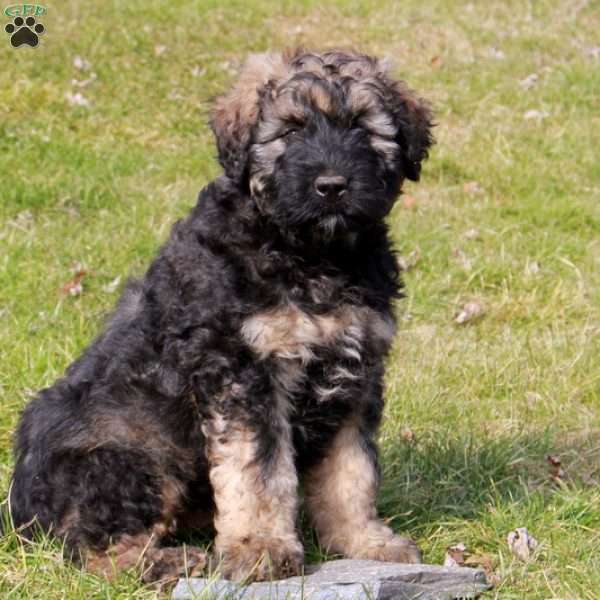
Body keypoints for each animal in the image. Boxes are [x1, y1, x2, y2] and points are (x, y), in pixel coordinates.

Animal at [9, 49, 434, 584]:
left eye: (362, 127)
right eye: (291, 131)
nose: (332, 186)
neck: (314, 256)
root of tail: (20, 512)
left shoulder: (357, 372)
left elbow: (352, 471)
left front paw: (364, 541)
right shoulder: (243, 373)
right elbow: (259, 473)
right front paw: (262, 549)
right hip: (129, 455)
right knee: (90, 548)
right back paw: (174, 560)